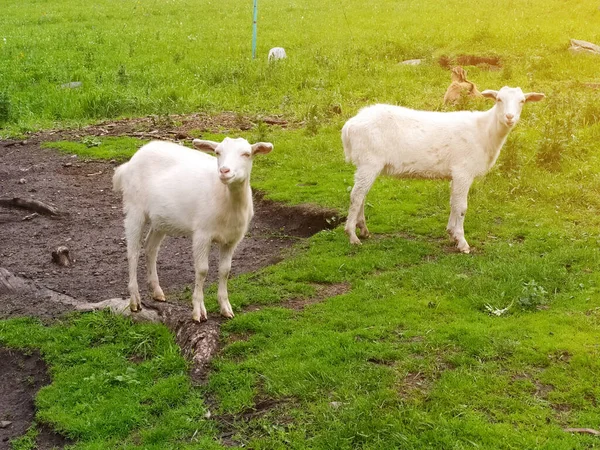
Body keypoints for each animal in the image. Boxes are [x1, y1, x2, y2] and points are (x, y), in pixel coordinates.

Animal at [112, 136, 274, 320]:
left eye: (246, 154)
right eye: (218, 152)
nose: (224, 171)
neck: (225, 198)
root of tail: (130, 163)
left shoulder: (232, 239)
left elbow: (225, 270)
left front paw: (226, 308)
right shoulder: (202, 234)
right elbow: (202, 270)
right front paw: (198, 310)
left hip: (160, 219)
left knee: (150, 247)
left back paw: (157, 291)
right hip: (134, 207)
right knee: (133, 252)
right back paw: (135, 300)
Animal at [342, 86, 544, 251]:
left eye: (522, 101)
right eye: (499, 99)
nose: (510, 117)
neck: (484, 131)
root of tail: (349, 125)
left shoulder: (455, 174)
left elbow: (453, 203)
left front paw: (452, 233)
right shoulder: (463, 171)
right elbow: (461, 207)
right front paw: (462, 243)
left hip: (367, 163)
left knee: (362, 194)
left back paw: (363, 230)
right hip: (369, 161)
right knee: (356, 195)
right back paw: (352, 235)